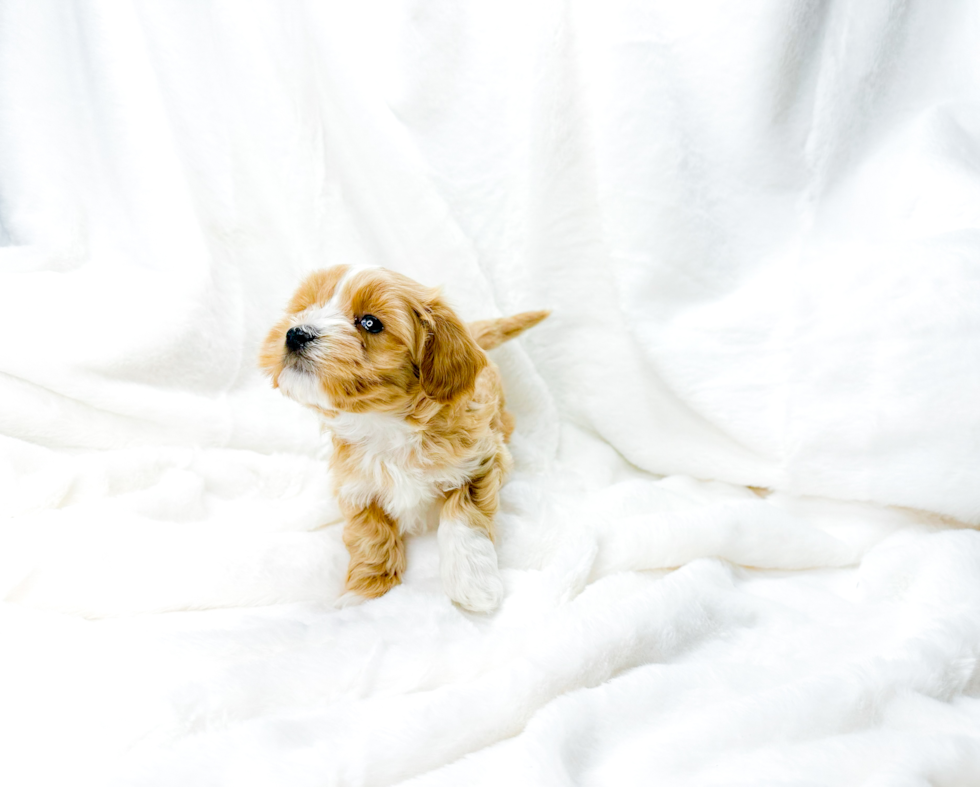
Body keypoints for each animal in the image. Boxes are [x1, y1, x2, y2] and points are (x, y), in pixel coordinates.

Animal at [258, 268, 552, 612]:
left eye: (370, 322)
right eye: (305, 308)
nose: (295, 334)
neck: (385, 424)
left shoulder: (482, 461)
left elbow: (464, 521)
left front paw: (473, 586)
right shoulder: (356, 486)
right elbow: (370, 536)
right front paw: (364, 592)